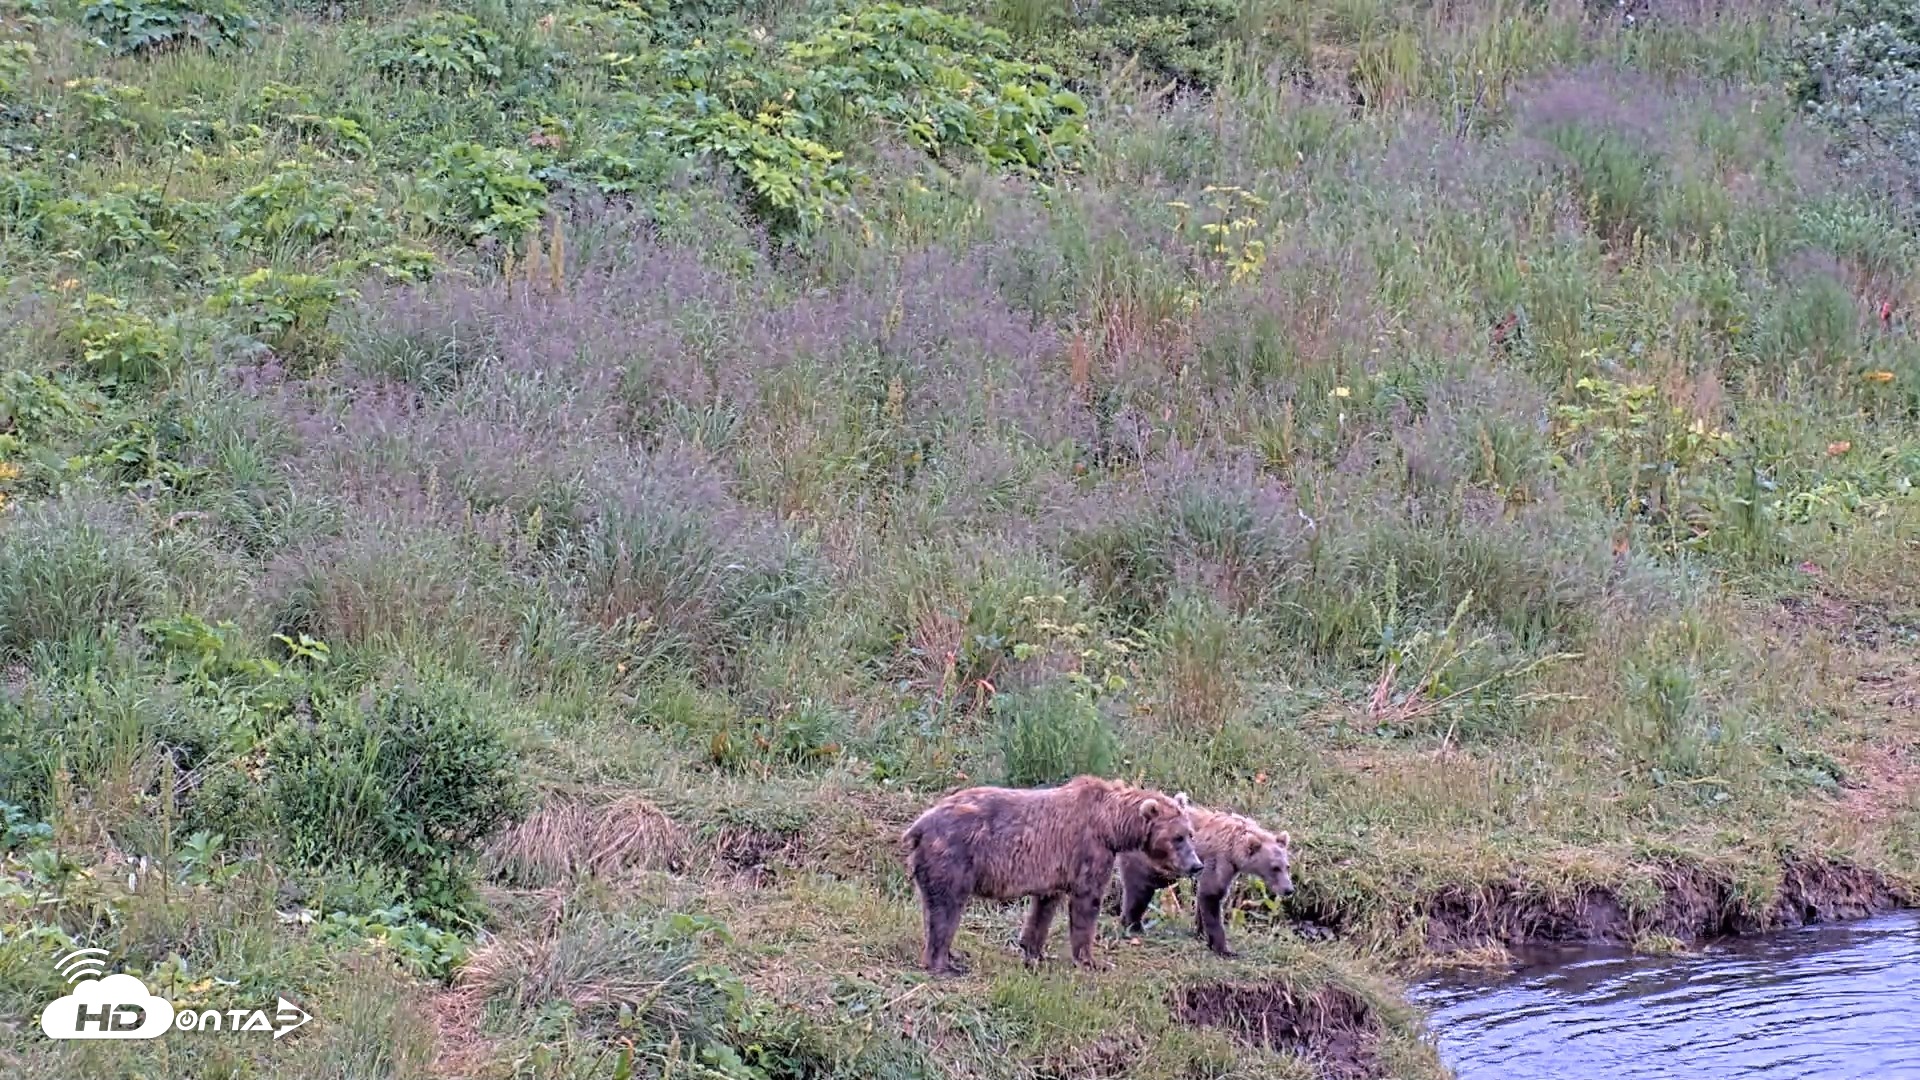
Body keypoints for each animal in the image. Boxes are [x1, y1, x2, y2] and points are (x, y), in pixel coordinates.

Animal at [902, 774, 1203, 976]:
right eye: (1177, 837)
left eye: (1190, 834)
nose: (1197, 865)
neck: (1111, 825)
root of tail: (919, 825)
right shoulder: (1089, 851)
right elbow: (1086, 902)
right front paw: (1092, 960)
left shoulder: (1053, 869)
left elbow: (1043, 908)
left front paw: (1034, 951)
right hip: (954, 857)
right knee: (947, 907)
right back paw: (944, 964)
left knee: (932, 907)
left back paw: (952, 955)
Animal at [1115, 798, 1292, 958]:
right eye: (1274, 868)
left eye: (1287, 866)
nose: (1289, 889)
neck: (1234, 848)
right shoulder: (1218, 859)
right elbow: (1211, 895)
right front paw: (1225, 949)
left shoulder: (1226, 868)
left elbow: (1204, 898)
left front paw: (1200, 932)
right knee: (1140, 890)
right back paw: (1134, 925)